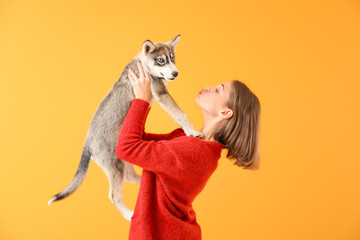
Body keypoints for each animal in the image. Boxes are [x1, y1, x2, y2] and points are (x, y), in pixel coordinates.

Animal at [47, 35, 200, 221]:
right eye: (161, 60)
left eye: (173, 58)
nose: (175, 73)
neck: (144, 64)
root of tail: (88, 143)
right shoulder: (161, 94)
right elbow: (180, 114)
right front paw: (192, 131)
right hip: (115, 166)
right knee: (114, 195)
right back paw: (129, 214)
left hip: (122, 159)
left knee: (129, 176)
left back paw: (145, 181)